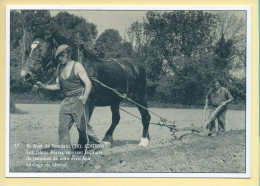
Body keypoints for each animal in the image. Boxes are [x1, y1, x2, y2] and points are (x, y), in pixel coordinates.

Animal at [20, 32, 151, 148]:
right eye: (29, 49)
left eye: (40, 50)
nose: (25, 75)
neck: (82, 66)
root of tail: (138, 65)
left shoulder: (89, 103)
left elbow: (83, 124)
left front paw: (81, 145)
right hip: (115, 100)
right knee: (116, 119)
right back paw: (107, 139)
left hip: (139, 96)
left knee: (146, 116)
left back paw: (144, 141)